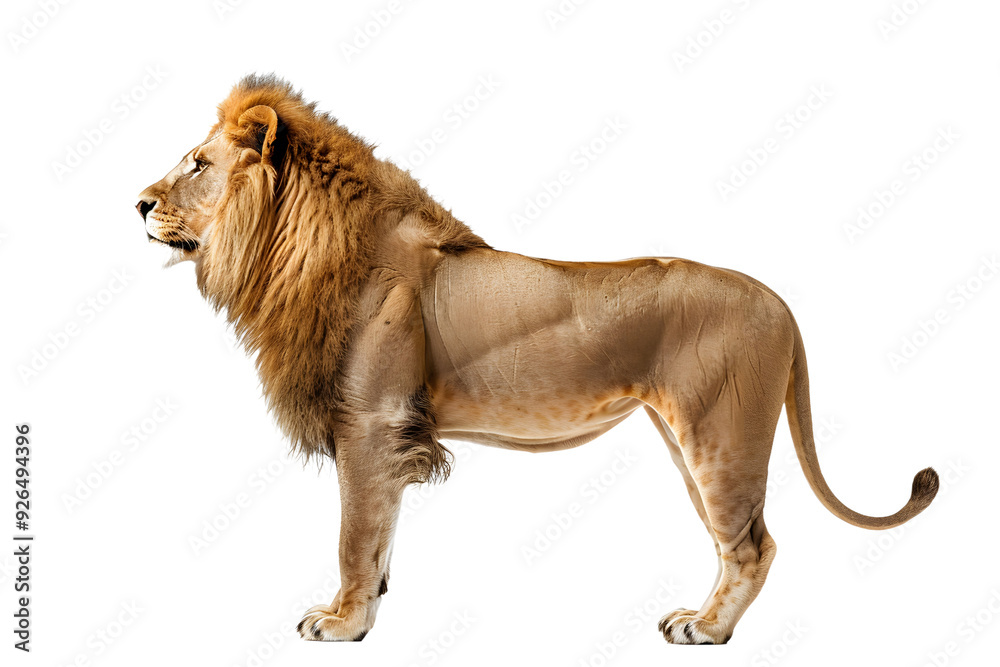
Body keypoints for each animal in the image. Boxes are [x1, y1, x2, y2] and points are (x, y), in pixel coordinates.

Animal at [135, 75, 939, 645]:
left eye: (198, 164)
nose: (138, 202)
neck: (299, 251)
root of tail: (781, 303)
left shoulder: (370, 424)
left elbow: (353, 535)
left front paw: (342, 622)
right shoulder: (390, 437)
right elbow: (382, 535)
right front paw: (371, 606)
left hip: (721, 435)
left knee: (753, 546)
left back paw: (706, 629)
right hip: (689, 439)